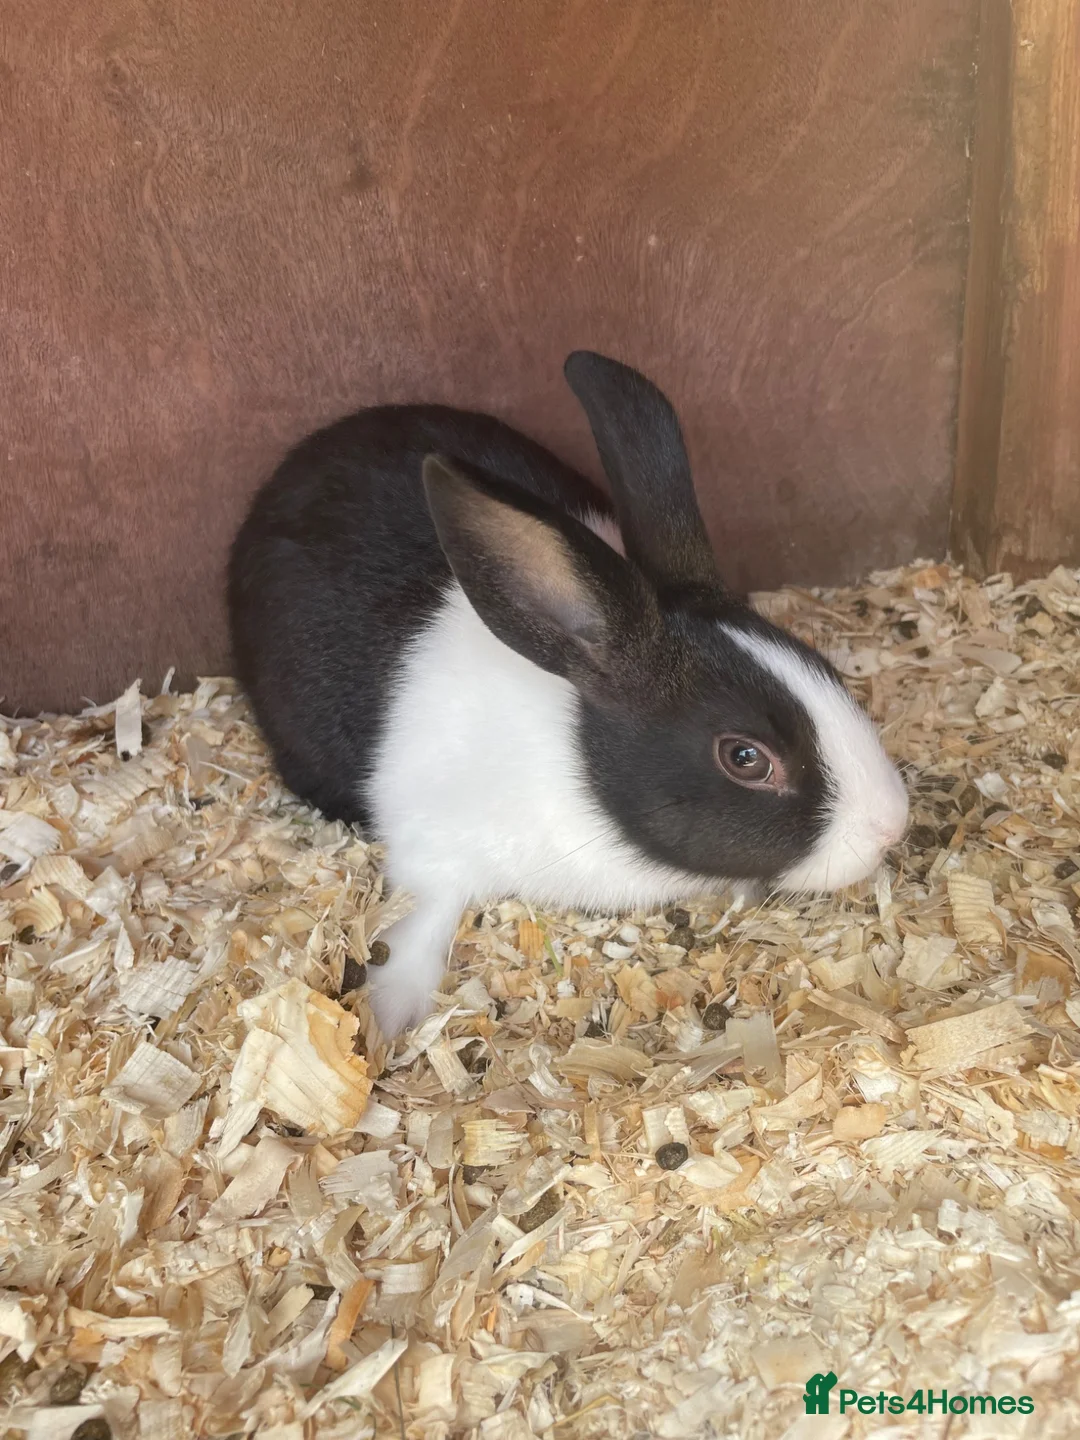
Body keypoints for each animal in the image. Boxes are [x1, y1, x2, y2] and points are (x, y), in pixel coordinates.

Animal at [228, 350, 909, 1037]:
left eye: (824, 666)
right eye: (745, 758)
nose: (890, 827)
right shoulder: (431, 846)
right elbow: (428, 916)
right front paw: (391, 1015)